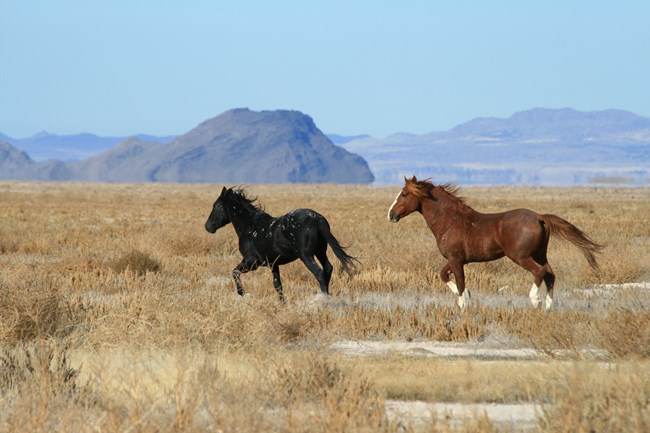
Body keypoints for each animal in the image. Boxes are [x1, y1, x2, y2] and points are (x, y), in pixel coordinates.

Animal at [204, 186, 356, 300]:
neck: (249, 225)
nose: (208, 226)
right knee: (328, 268)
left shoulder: (251, 262)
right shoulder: (273, 264)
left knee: (319, 273)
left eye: (215, 205)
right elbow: (278, 286)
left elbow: (234, 272)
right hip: (320, 252)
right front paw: (282, 304)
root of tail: (316, 218)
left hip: (306, 256)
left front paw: (243, 293)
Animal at [384, 177, 604, 308]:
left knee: (540, 272)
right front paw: (469, 295)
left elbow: (460, 286)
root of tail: (540, 217)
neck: (451, 221)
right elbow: (443, 276)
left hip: (521, 257)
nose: (391, 215)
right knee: (550, 275)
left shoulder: (456, 260)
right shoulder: (455, 260)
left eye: (404, 194)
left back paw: (535, 300)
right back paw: (548, 308)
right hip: (540, 254)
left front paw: (464, 306)